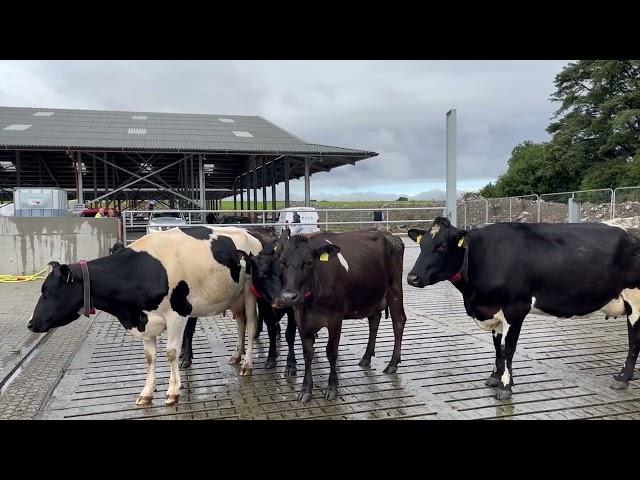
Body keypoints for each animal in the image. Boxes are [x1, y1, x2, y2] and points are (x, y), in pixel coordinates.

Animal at [27, 227, 262, 406]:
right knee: (241, 324)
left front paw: (172, 391)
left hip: (249, 294)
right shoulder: (143, 321)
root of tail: (250, 234)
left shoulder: (179, 313)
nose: (30, 324)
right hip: (234, 299)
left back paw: (247, 364)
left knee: (251, 326)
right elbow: (150, 357)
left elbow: (171, 353)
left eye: (47, 293)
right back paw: (236, 355)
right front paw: (147, 393)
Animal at [276, 231, 404, 404]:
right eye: (282, 262)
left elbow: (331, 352)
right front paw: (305, 389)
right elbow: (307, 353)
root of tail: (389, 234)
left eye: (308, 262)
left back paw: (392, 364)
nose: (289, 296)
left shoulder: (335, 318)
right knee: (374, 321)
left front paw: (332, 388)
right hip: (372, 296)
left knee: (398, 321)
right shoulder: (301, 318)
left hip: (394, 289)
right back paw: (366, 357)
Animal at [404, 216, 640, 400]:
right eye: (422, 245)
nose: (412, 277)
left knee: (634, 339)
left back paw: (623, 378)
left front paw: (506, 386)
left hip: (635, 297)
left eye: (441, 247)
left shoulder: (515, 308)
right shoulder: (494, 312)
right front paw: (494, 377)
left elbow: (508, 348)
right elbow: (497, 347)